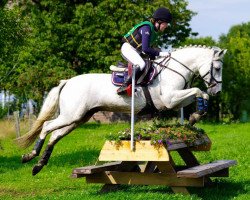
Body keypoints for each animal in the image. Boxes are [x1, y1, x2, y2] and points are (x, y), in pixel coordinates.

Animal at [16, 45, 227, 175]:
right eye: (217, 68)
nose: (217, 91)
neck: (173, 69)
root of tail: (67, 81)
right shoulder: (170, 99)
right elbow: (198, 90)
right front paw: (196, 114)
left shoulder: (175, 100)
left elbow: (200, 93)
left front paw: (195, 116)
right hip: (71, 115)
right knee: (47, 126)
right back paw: (30, 156)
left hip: (78, 118)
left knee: (55, 135)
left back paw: (38, 165)